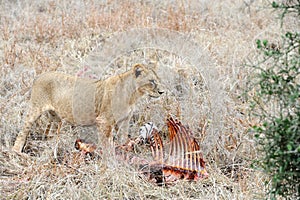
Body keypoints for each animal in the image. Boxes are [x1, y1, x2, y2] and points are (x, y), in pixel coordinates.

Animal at [12, 64, 164, 153]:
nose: (162, 92)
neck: (133, 95)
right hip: (35, 109)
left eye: (158, 80)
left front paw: (125, 150)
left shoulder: (124, 120)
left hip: (55, 117)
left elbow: (122, 137)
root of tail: (39, 76)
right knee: (23, 131)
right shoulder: (104, 121)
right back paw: (16, 151)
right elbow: (106, 142)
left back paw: (52, 145)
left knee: (50, 132)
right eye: (152, 81)